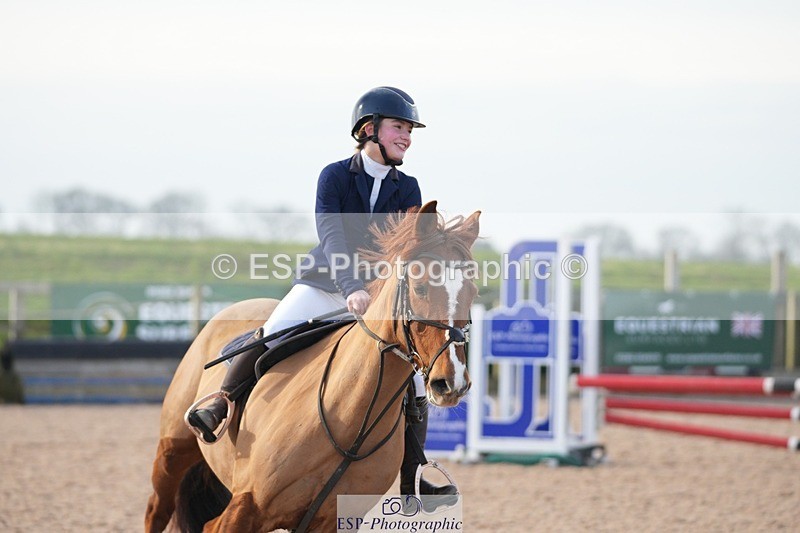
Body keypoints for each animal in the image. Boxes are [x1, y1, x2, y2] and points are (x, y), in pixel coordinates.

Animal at [144, 200, 480, 532]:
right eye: (420, 289)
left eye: (472, 293)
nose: (452, 383)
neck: (350, 423)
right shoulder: (244, 508)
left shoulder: (333, 521)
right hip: (172, 453)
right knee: (156, 511)